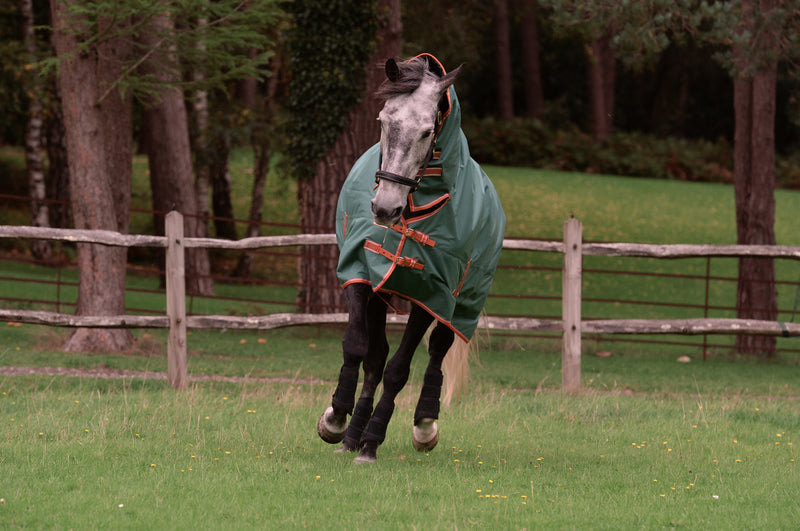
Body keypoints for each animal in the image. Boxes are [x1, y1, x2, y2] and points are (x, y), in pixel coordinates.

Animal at [317, 54, 506, 464]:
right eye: (383, 121)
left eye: (426, 131)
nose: (384, 208)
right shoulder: (363, 274)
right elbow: (358, 348)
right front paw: (337, 420)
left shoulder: (429, 293)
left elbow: (399, 370)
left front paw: (372, 442)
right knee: (375, 358)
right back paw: (353, 432)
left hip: (460, 304)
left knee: (437, 350)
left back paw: (423, 425)